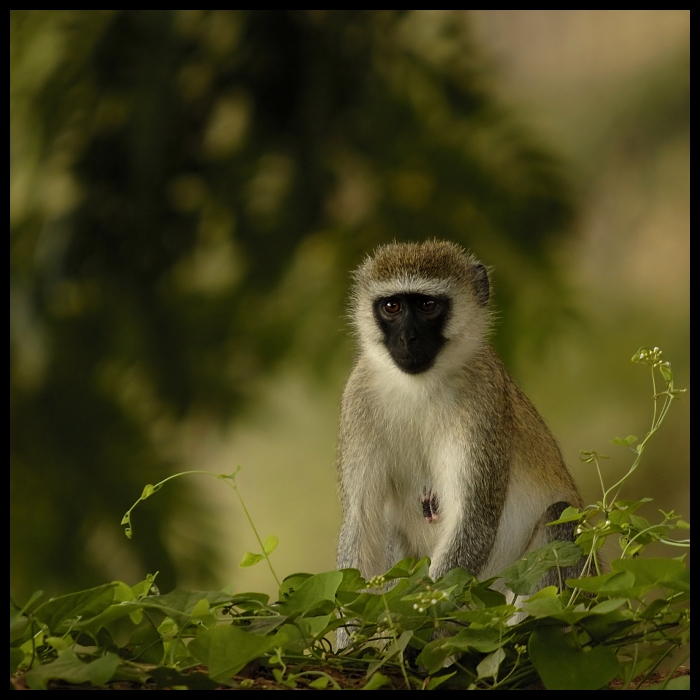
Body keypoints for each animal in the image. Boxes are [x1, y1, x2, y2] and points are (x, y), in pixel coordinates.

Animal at [336, 239, 584, 644]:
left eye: (427, 305)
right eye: (392, 307)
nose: (407, 338)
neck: (418, 385)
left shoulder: (483, 399)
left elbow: (475, 519)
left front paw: (418, 628)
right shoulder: (357, 399)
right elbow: (362, 523)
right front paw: (350, 644)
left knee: (561, 519)